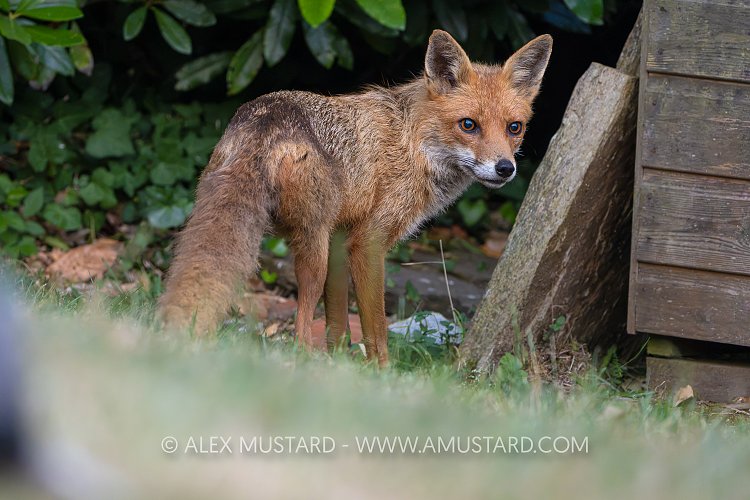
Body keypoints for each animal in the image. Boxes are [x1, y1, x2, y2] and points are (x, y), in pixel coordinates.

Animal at [159, 29, 552, 366]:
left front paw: (342, 368)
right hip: (312, 250)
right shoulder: (368, 243)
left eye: (514, 128)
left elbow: (337, 323)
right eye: (468, 125)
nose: (504, 168)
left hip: (222, 222)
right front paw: (382, 375)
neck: (414, 143)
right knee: (299, 327)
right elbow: (375, 327)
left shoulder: (339, 238)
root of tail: (265, 117)